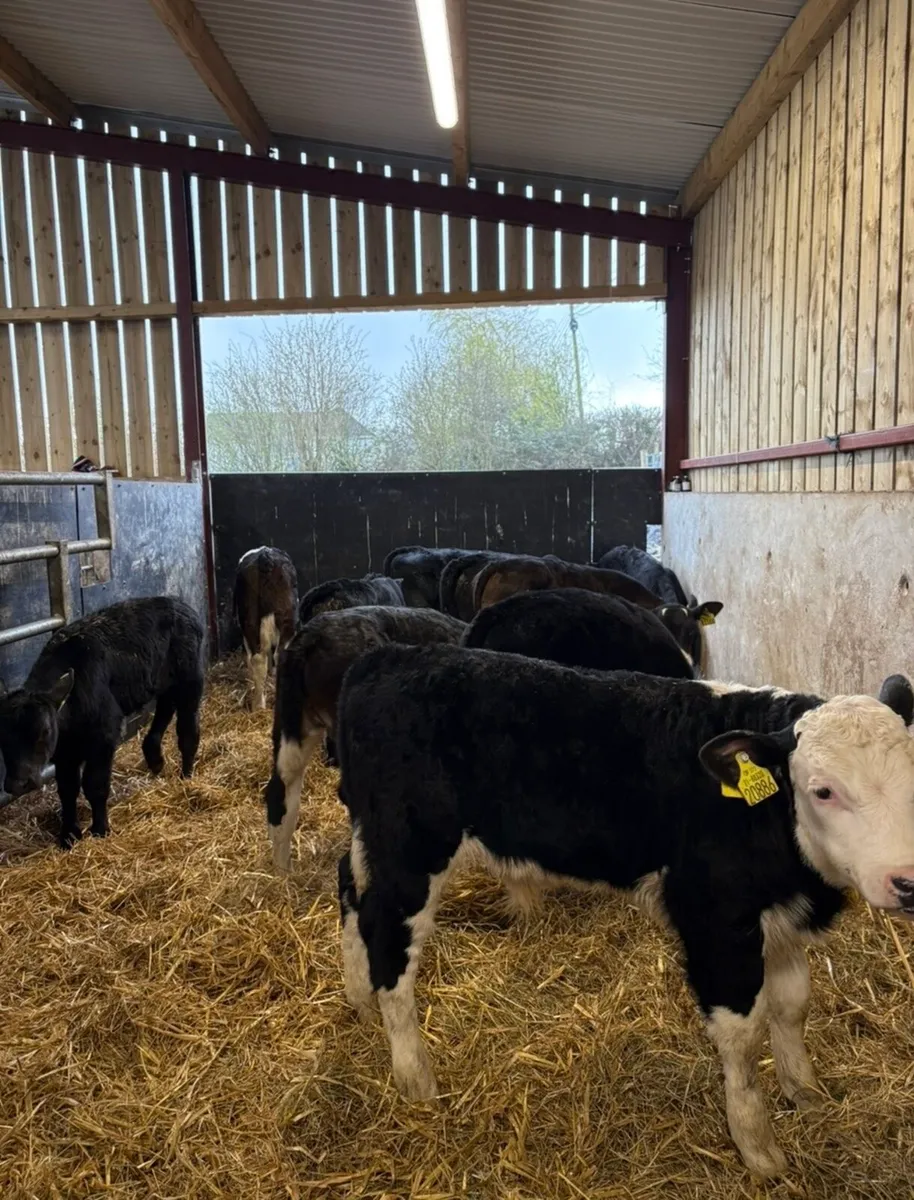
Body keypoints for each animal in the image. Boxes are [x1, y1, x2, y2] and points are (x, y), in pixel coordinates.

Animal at [0, 597, 205, 847]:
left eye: (45, 731)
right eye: (1, 737)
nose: (17, 784)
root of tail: (178, 603)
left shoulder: (104, 737)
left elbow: (94, 785)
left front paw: (100, 829)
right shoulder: (64, 753)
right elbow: (67, 789)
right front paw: (68, 835)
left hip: (190, 677)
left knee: (187, 727)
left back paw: (187, 775)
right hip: (163, 680)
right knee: (166, 706)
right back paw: (155, 758)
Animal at [234, 546, 298, 710]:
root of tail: (265, 556)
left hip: (250, 620)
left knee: (259, 658)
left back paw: (258, 705)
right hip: (287, 617)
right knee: (277, 654)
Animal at [332, 643, 914, 1178]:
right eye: (823, 791)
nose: (905, 881)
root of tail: (392, 656)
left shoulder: (781, 918)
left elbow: (793, 1006)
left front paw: (805, 1091)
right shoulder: (716, 924)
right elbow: (744, 1041)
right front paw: (758, 1148)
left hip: (372, 842)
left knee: (351, 892)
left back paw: (361, 1001)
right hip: (411, 853)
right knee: (390, 945)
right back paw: (415, 1079)